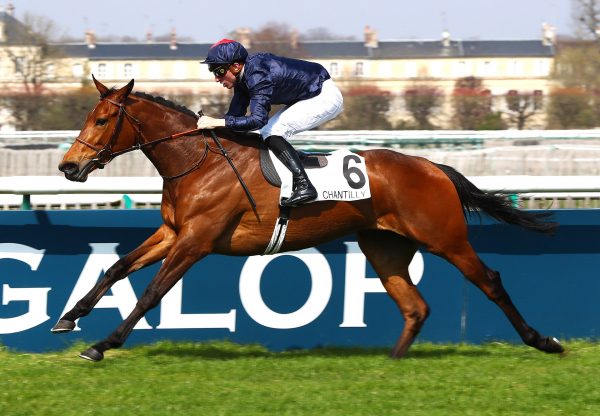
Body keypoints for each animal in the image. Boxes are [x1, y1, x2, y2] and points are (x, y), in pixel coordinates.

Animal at [50, 77, 564, 360]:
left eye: (101, 120)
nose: (69, 167)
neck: (198, 160)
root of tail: (433, 166)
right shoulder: (172, 231)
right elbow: (116, 267)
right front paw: (69, 317)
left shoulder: (195, 240)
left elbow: (152, 291)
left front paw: (103, 344)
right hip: (384, 246)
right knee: (414, 306)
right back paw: (391, 364)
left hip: (446, 238)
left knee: (490, 281)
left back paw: (544, 341)